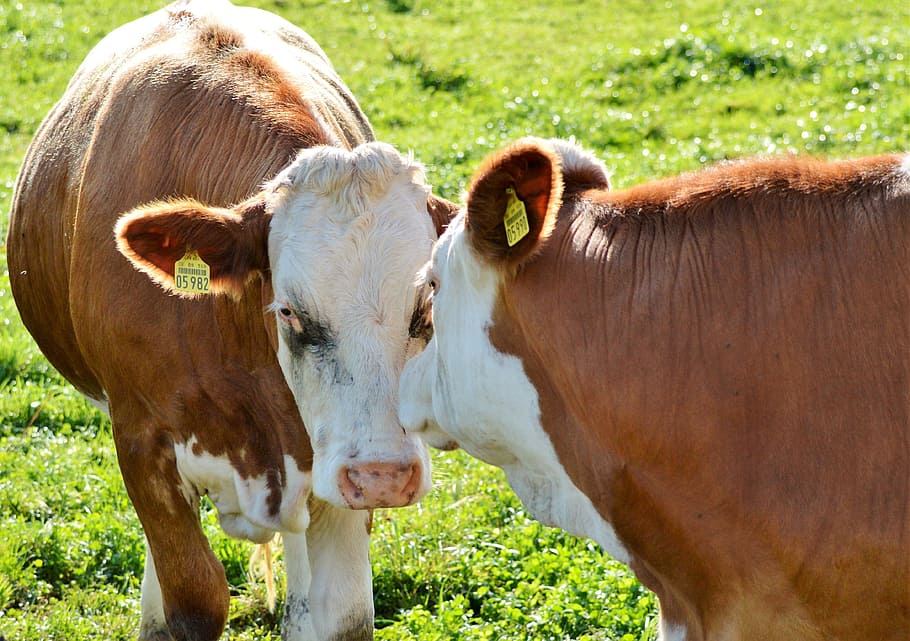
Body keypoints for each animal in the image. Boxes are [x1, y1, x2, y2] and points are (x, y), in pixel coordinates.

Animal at [6, 1, 457, 640]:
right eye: (288, 310)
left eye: (425, 307)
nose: (382, 476)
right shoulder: (139, 440)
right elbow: (194, 596)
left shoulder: (329, 472)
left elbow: (341, 615)